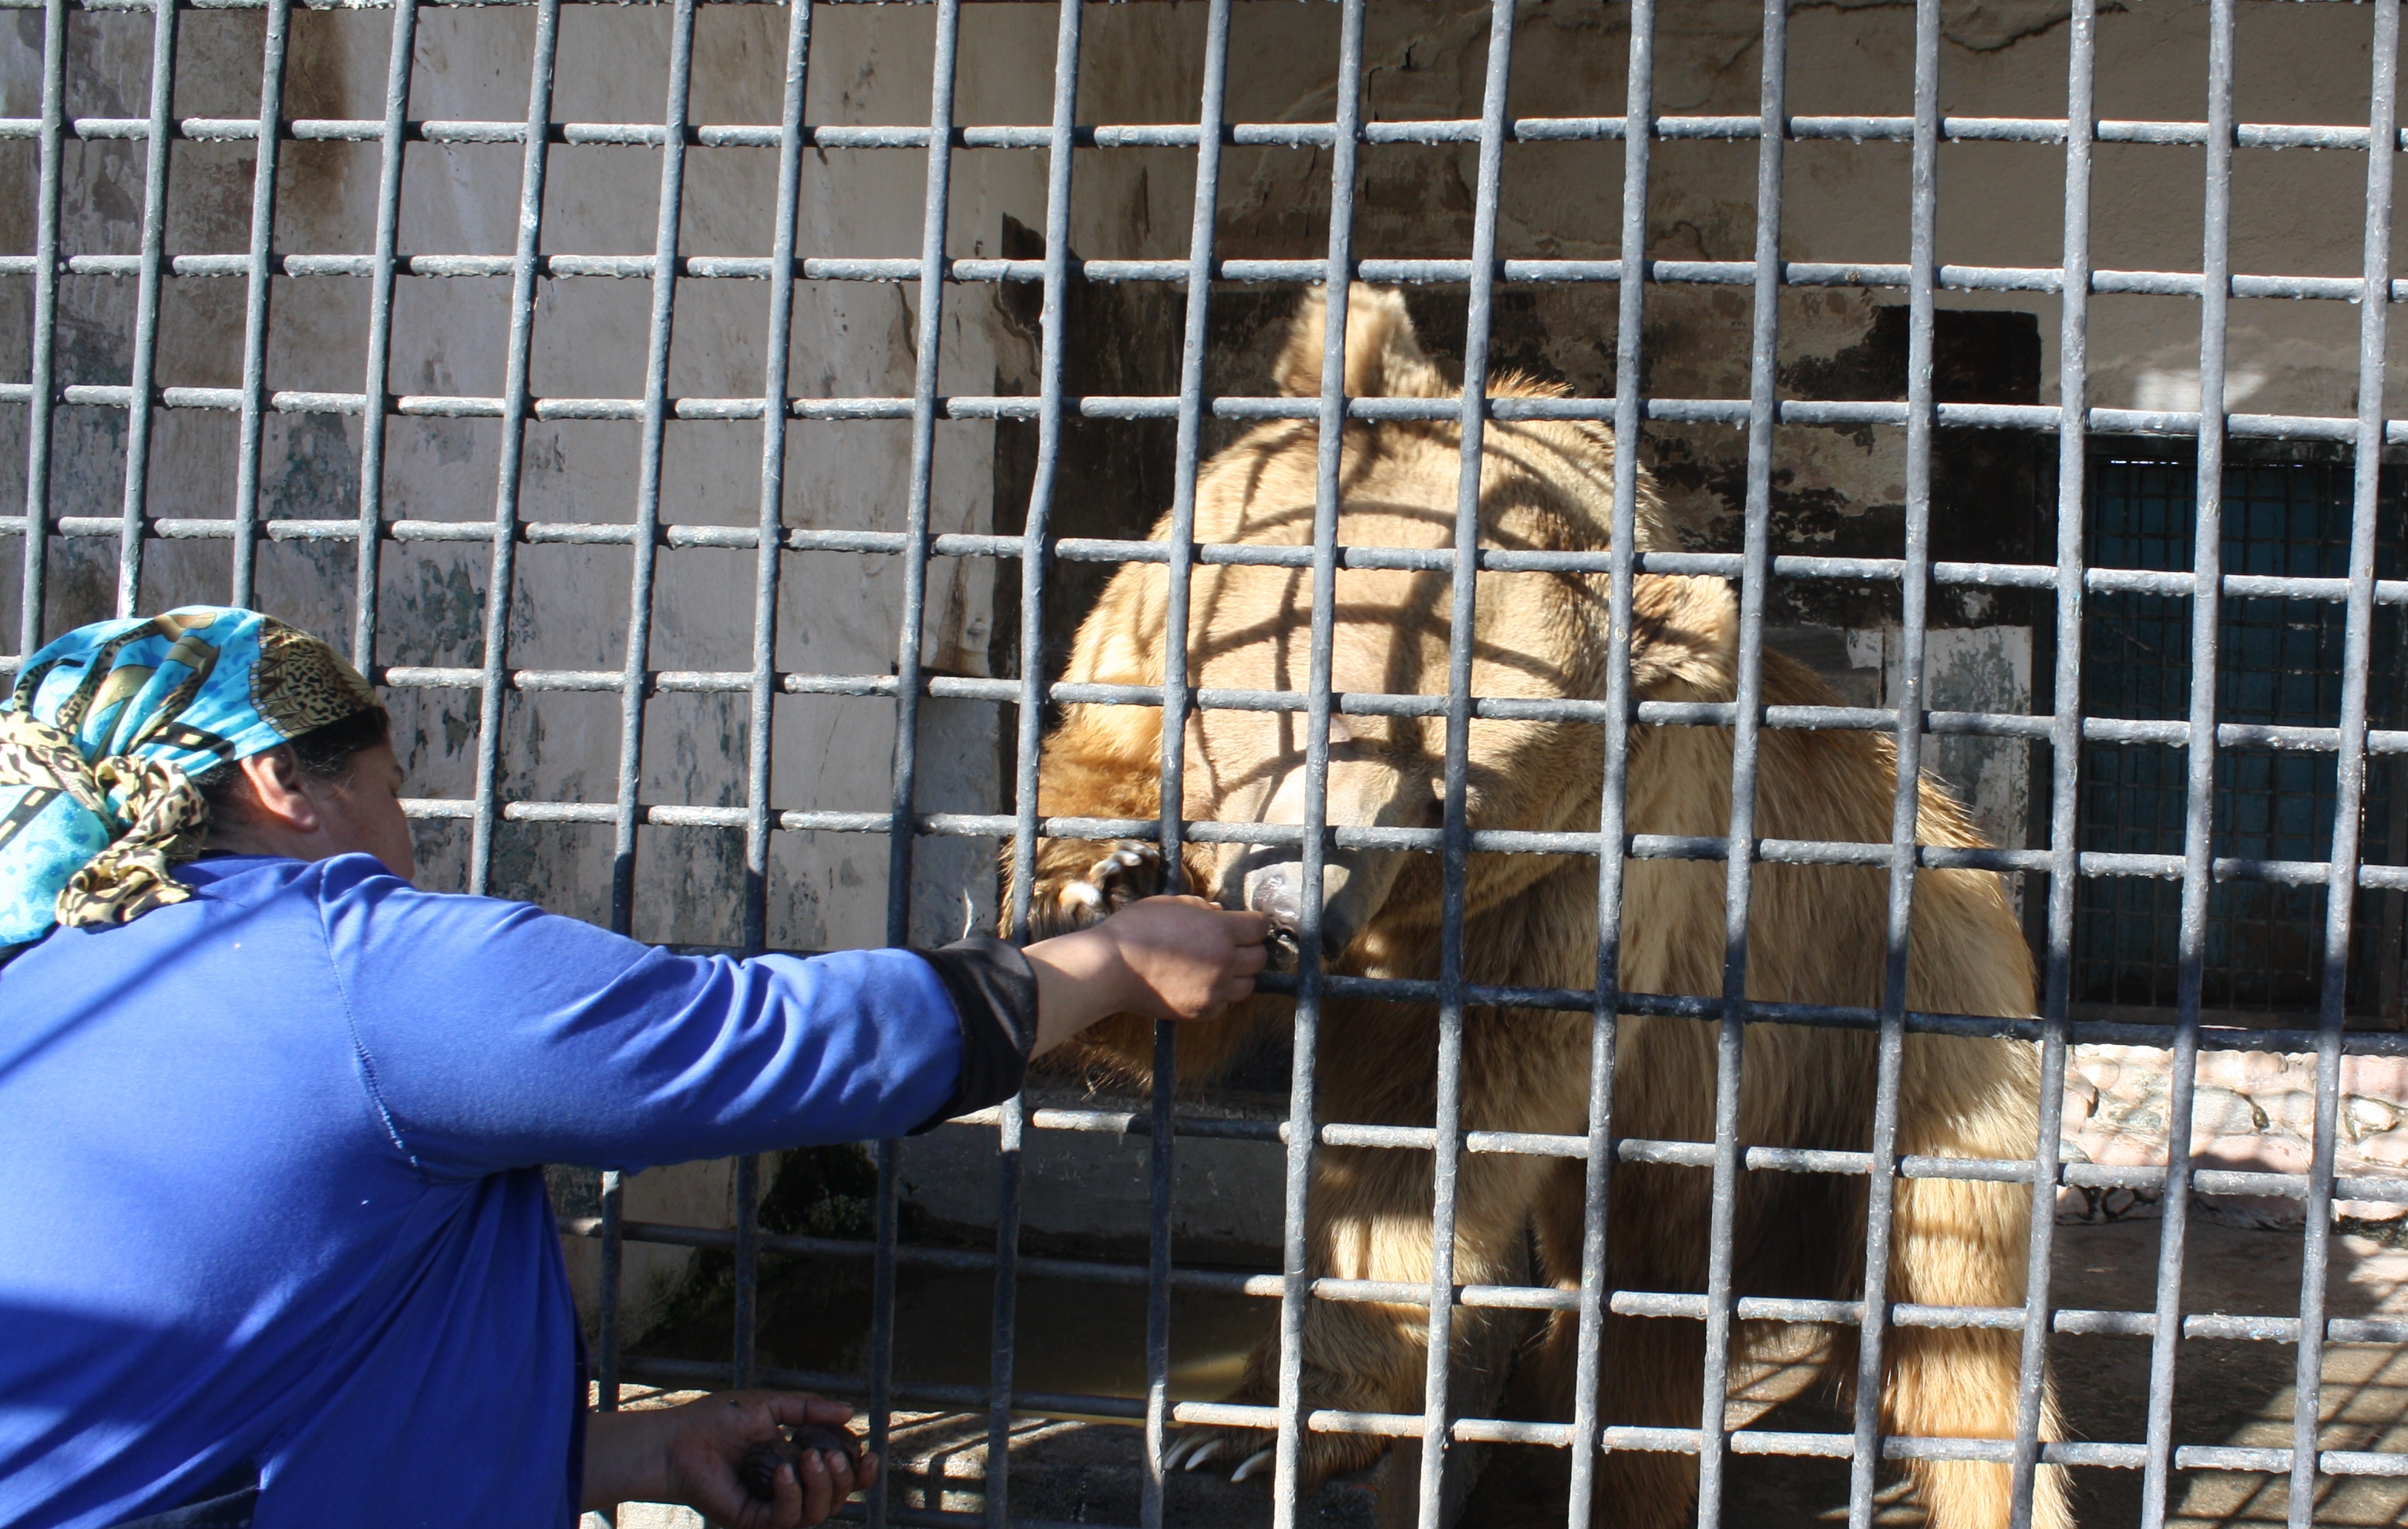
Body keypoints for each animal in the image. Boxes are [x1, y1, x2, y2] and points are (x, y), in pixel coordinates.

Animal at [1016, 290, 2070, 1529]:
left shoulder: (1565, 905)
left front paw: (1260, 1426)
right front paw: (1099, 888)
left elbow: (1426, 1128)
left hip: (1908, 1044)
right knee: (1644, 1336)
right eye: (1325, 695)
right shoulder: (1135, 689)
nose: (1296, 904)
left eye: (1447, 789)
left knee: (1956, 1327)